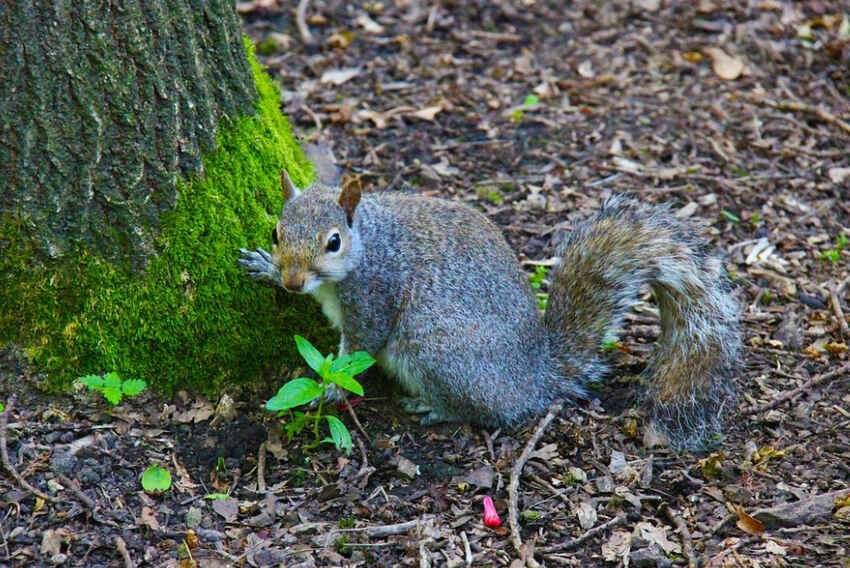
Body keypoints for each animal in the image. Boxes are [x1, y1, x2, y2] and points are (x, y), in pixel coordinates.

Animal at [238, 162, 736, 450]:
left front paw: (327, 391)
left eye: (333, 242)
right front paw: (262, 267)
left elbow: (357, 351)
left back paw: (438, 409)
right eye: (276, 233)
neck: (368, 244)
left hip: (436, 352)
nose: (293, 281)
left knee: (488, 412)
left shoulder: (376, 293)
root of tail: (534, 376)